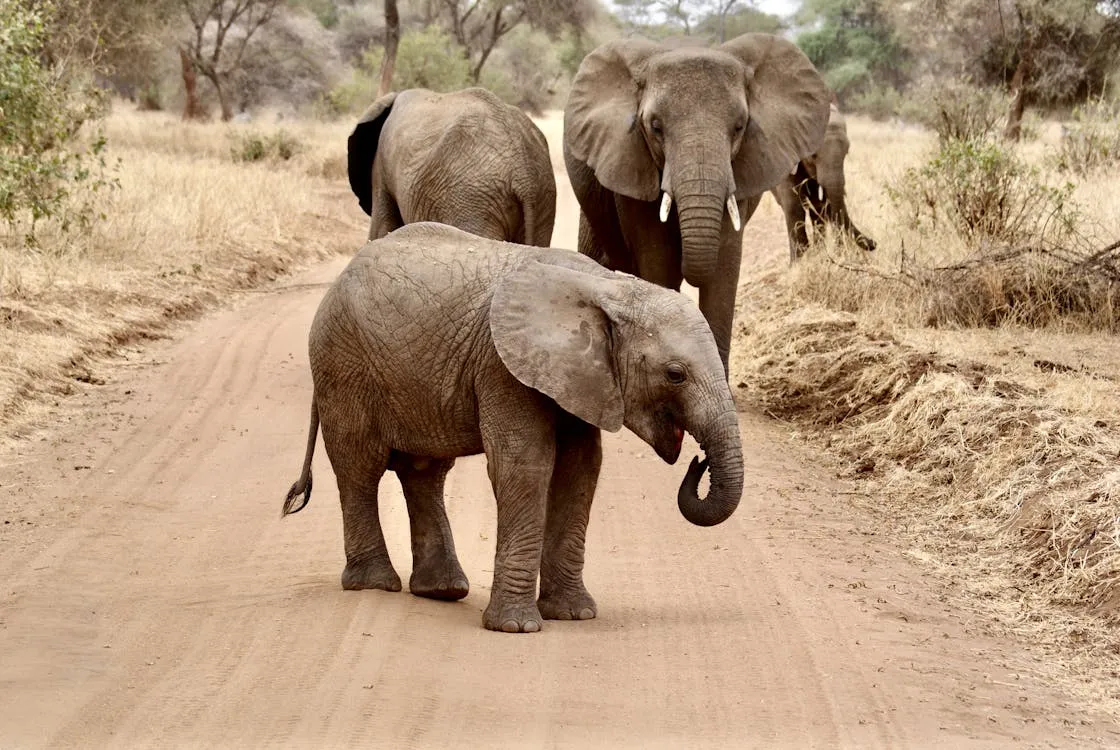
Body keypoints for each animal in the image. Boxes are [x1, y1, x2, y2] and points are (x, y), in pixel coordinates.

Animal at [770, 101, 873, 263]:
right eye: (813, 155)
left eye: (847, 152)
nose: (874, 243)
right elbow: (793, 205)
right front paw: (798, 264)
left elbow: (825, 205)